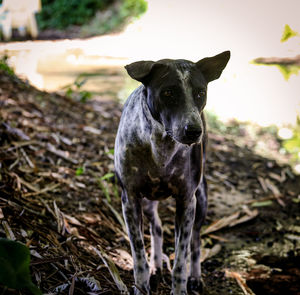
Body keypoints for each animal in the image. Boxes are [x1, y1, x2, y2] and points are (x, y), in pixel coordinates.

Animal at [114, 50, 230, 294]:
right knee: (157, 228)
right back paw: (156, 266)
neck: (161, 146)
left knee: (195, 242)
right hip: (148, 203)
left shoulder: (187, 202)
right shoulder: (130, 199)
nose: (194, 131)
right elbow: (138, 252)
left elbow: (180, 258)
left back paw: (194, 276)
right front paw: (142, 284)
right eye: (168, 92)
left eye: (200, 93)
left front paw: (180, 287)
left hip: (201, 200)